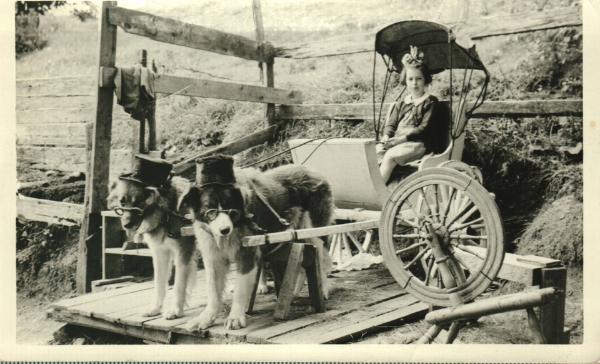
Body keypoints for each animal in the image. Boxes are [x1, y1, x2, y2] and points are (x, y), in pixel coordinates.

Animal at [104, 155, 196, 320]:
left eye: (139, 201)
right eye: (122, 202)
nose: (126, 225)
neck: (167, 213)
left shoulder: (183, 254)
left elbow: (179, 285)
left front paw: (176, 310)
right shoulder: (160, 254)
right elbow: (159, 284)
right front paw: (155, 309)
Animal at [178, 155, 336, 332]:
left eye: (231, 209)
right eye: (210, 211)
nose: (224, 230)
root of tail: (312, 171)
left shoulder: (247, 254)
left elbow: (240, 288)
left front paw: (235, 317)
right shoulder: (213, 257)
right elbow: (213, 290)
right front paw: (206, 318)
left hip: (314, 231)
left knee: (321, 257)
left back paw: (322, 289)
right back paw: (293, 292)